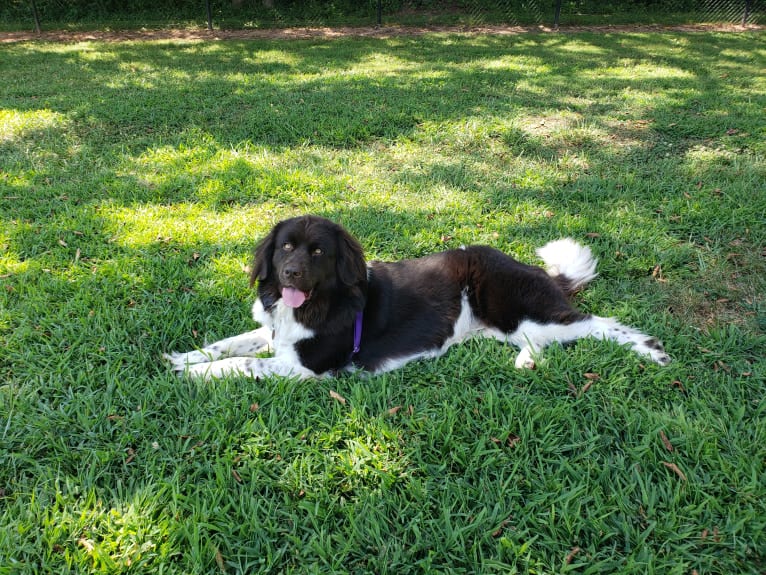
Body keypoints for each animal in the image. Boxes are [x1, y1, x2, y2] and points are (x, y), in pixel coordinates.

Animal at [164, 214, 672, 380]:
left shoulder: (306, 368)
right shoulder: (276, 336)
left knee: (598, 323)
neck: (319, 301)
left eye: (318, 252)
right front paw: (185, 357)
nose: (290, 273)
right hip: (498, 327)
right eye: (285, 247)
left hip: (522, 310)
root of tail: (535, 270)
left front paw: (197, 375)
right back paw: (526, 361)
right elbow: (232, 343)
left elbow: (243, 361)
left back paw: (652, 351)